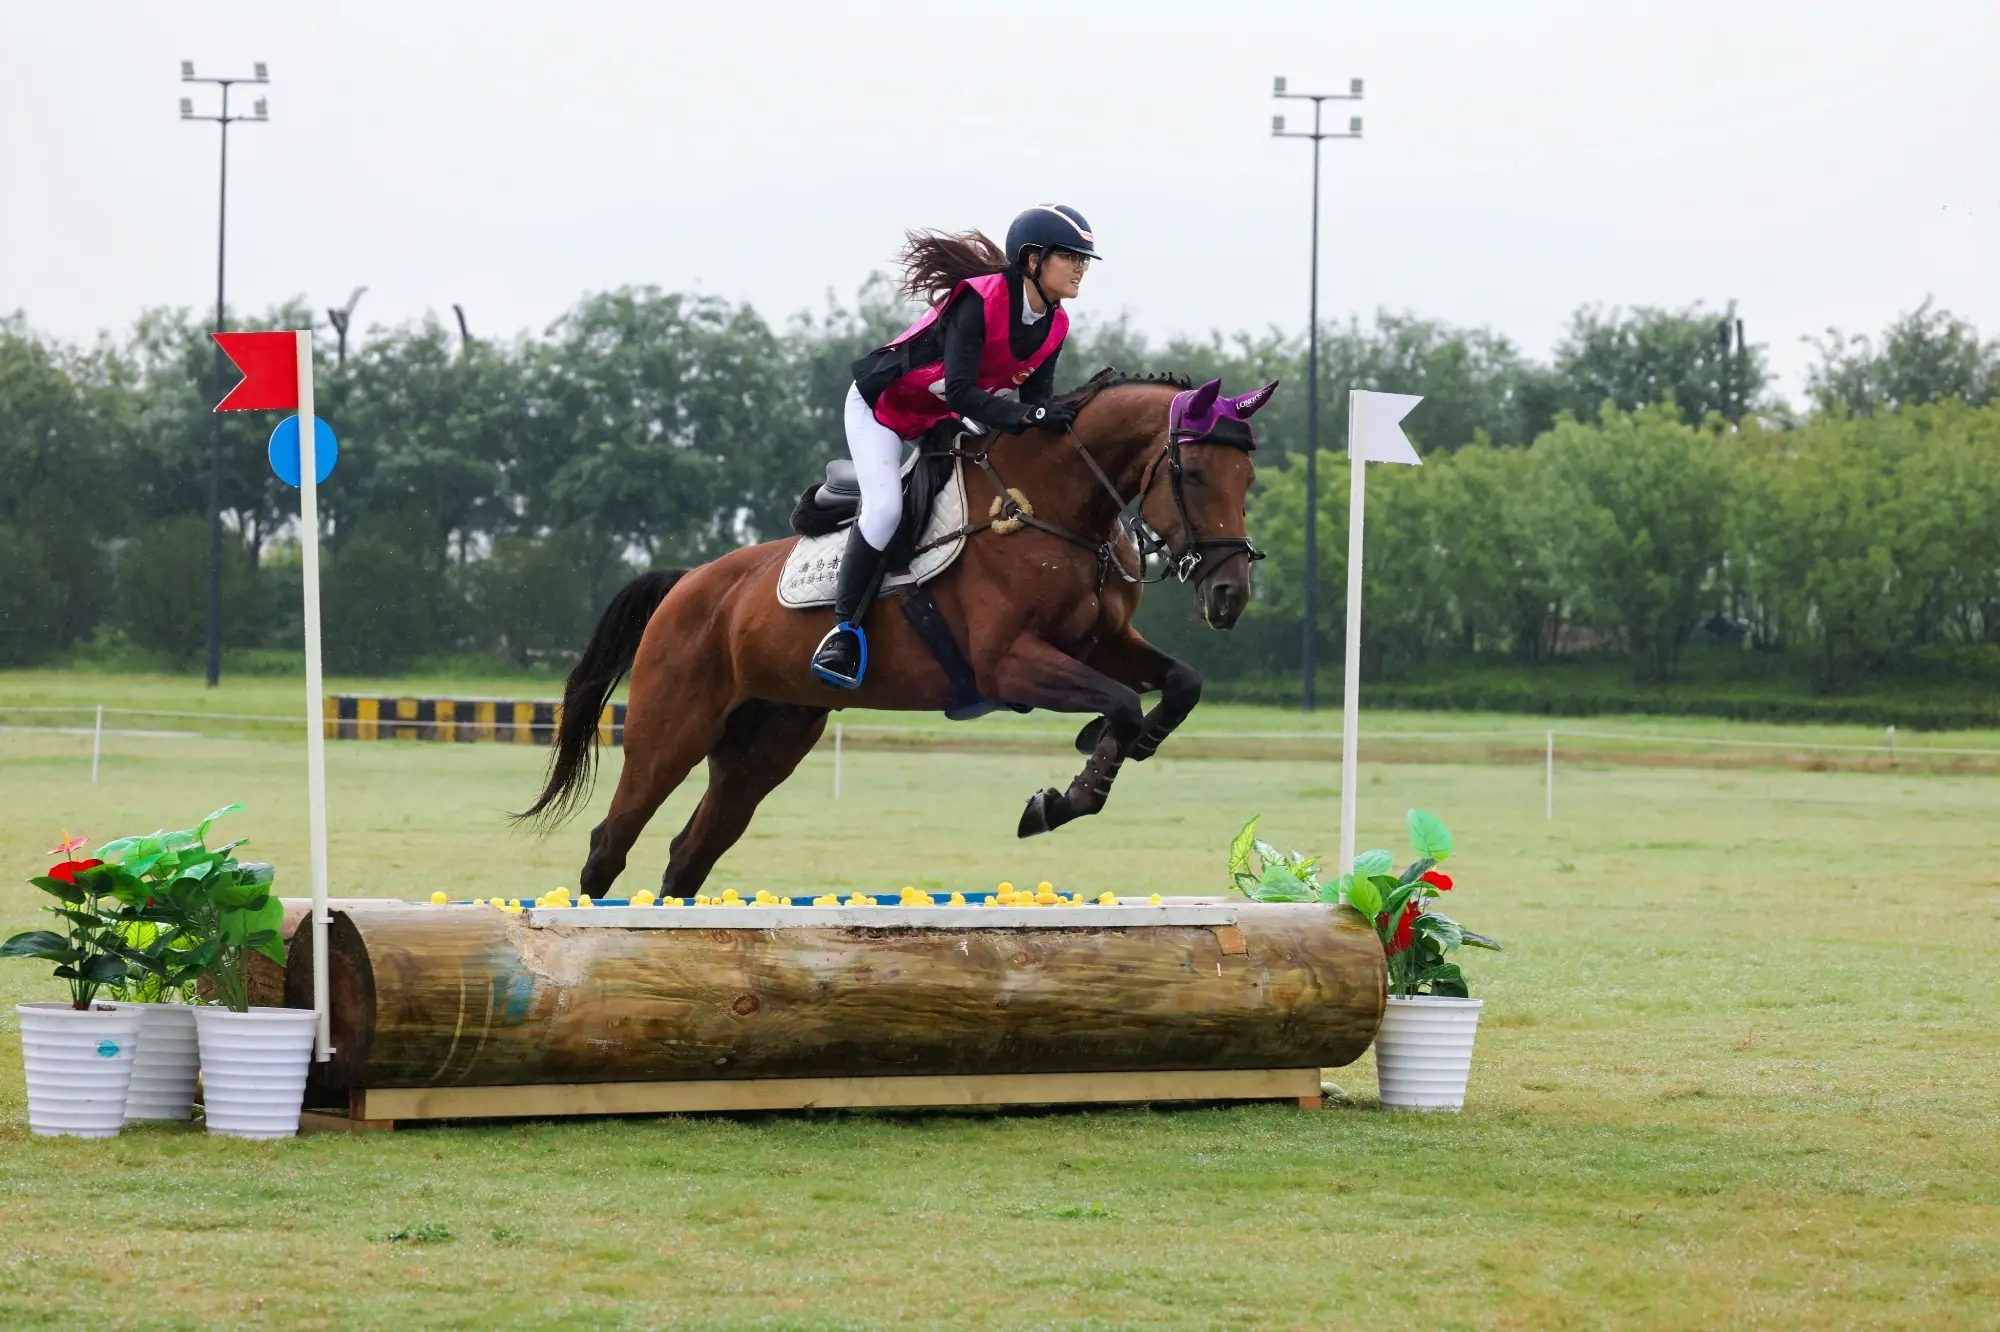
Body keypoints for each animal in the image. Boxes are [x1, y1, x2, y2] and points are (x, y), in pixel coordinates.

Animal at [518, 370, 1279, 900]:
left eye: (1248, 477)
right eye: (1191, 472)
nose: (1229, 595)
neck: (1057, 511)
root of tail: (688, 585)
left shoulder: (1102, 644)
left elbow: (1179, 684)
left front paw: (1129, 745)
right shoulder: (1010, 664)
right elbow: (1119, 702)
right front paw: (1063, 798)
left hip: (765, 746)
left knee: (688, 855)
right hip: (670, 732)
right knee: (610, 843)